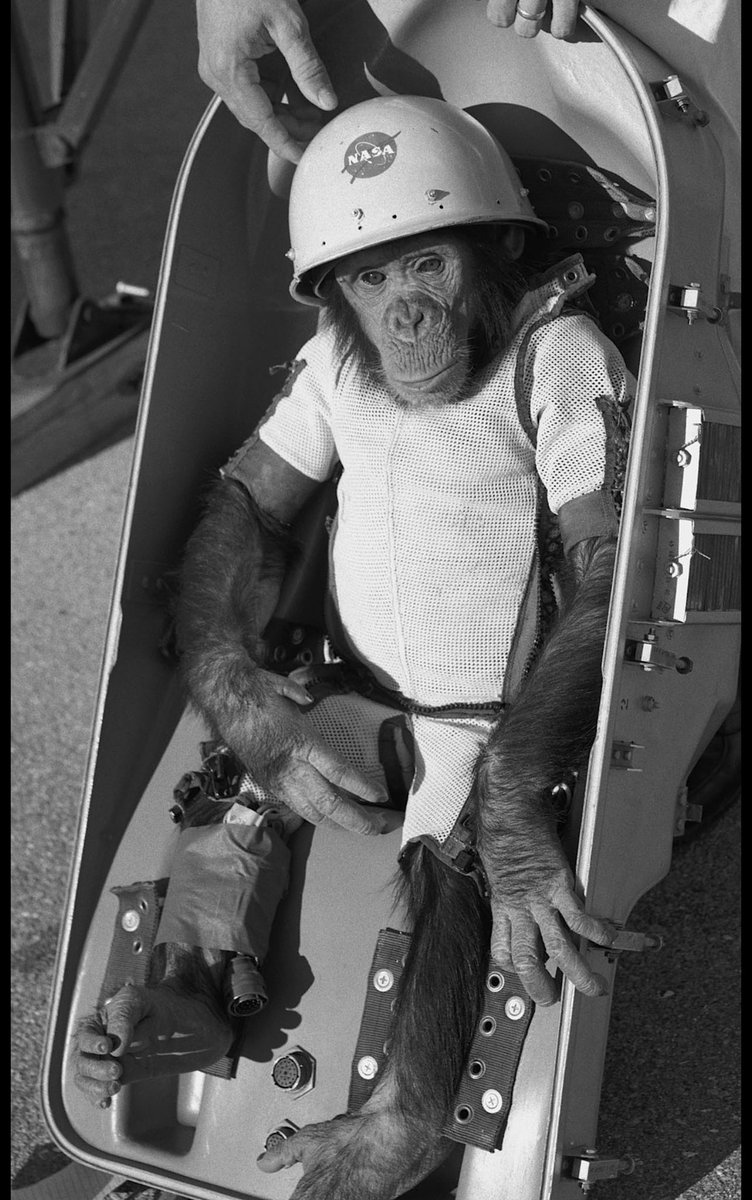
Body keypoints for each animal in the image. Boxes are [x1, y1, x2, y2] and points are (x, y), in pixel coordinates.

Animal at [71, 98, 630, 1199]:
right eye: (371, 278)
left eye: (428, 264)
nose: (405, 317)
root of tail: (401, 723)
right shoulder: (319, 387)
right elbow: (251, 495)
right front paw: (264, 725)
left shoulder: (577, 362)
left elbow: (597, 559)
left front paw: (517, 844)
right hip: (342, 708)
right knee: (259, 792)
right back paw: (165, 1013)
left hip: (454, 744)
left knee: (440, 864)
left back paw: (391, 1129)